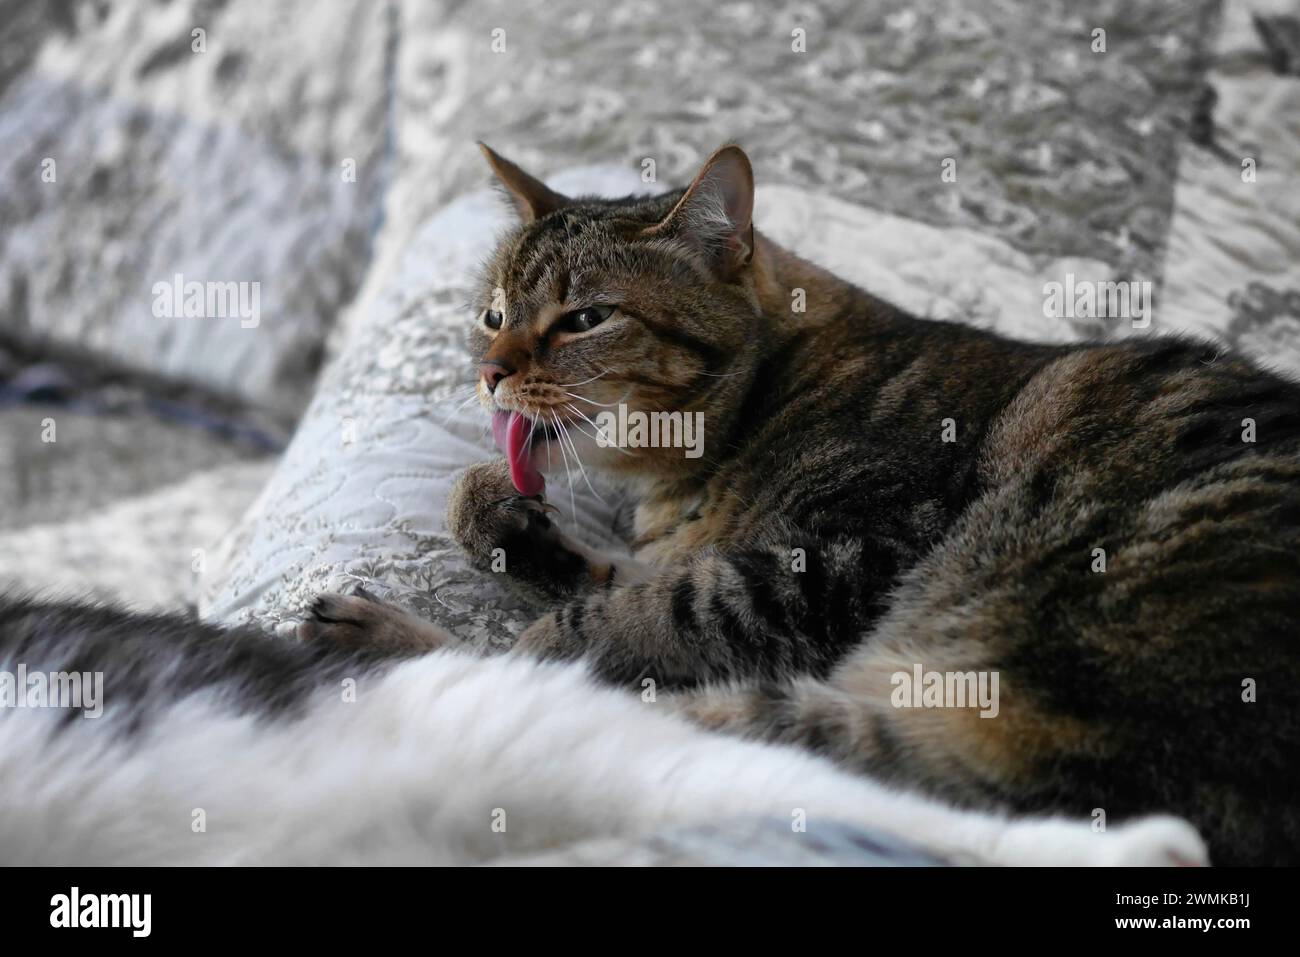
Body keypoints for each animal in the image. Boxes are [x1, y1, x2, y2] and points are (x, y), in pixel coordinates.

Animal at [306, 141, 1300, 868]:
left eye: (585, 318)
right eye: (492, 314)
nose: (487, 371)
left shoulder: (843, 560)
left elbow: (612, 623)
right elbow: (532, 533)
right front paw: (511, 517)